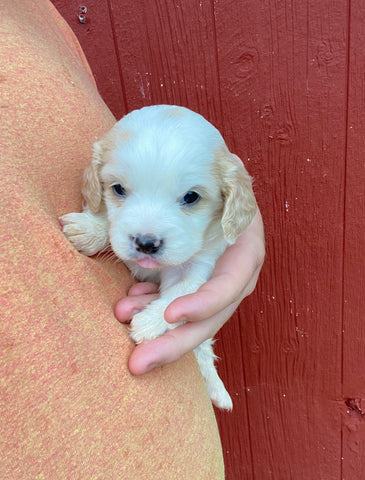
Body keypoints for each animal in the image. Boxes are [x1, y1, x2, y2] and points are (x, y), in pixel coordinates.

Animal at [60, 104, 256, 408]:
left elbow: (180, 295)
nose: (146, 243)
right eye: (118, 189)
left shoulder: (199, 265)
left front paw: (149, 323)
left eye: (191, 197)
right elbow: (109, 223)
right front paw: (90, 229)